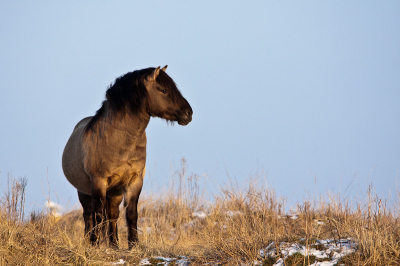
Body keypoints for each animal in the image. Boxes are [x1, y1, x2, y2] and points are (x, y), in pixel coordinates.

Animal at [61, 65, 193, 248]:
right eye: (164, 90)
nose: (188, 114)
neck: (120, 142)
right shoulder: (98, 181)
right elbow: (97, 215)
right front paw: (96, 244)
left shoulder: (134, 181)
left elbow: (131, 213)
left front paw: (134, 244)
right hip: (84, 191)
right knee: (88, 215)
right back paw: (90, 241)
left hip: (114, 192)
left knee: (112, 215)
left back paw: (114, 244)